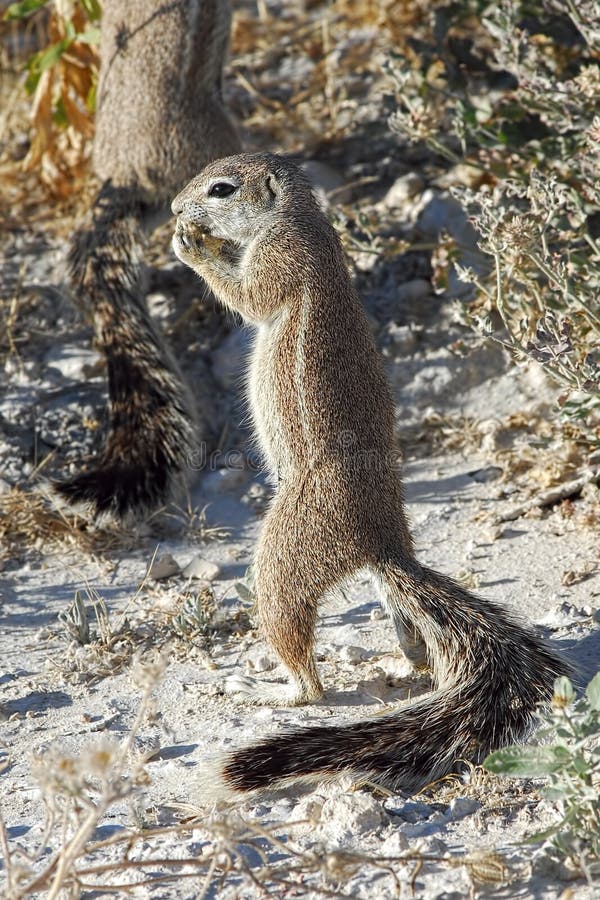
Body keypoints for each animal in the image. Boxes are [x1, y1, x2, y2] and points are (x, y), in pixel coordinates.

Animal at [171, 152, 569, 796]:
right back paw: (410, 657)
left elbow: (249, 297)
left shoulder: (280, 258)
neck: (300, 221)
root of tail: (383, 543)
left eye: (221, 189)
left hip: (281, 562)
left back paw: (273, 690)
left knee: (307, 672)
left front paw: (192, 244)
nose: (175, 208)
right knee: (410, 637)